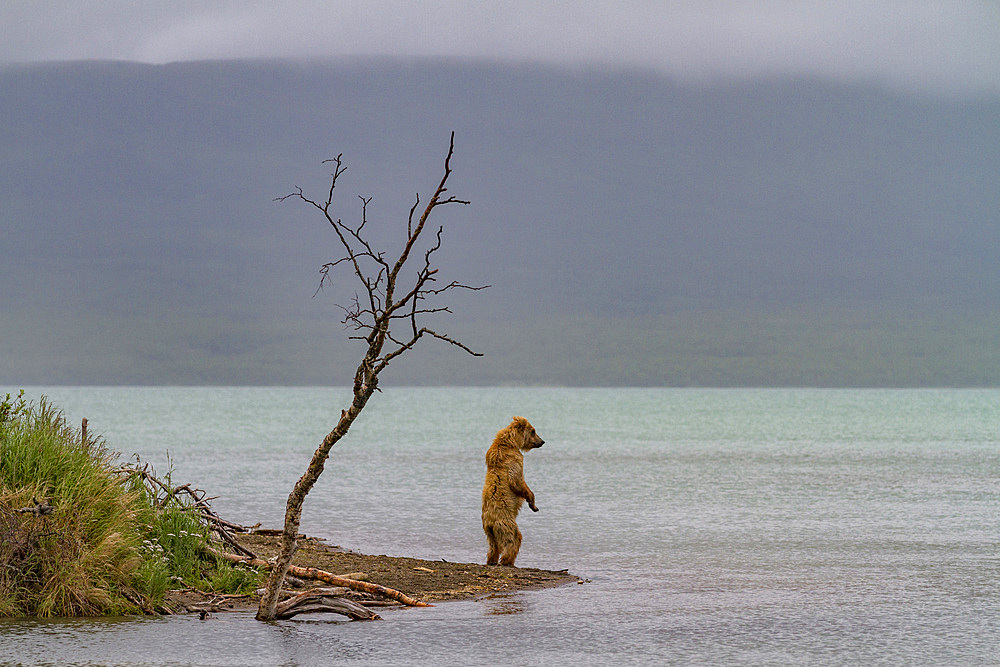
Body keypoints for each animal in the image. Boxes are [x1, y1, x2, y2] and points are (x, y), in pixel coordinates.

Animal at [480, 418, 544, 564]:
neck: (511, 443)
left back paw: (492, 560)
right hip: (505, 522)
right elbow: (517, 481)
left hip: (489, 532)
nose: (542, 441)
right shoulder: (514, 461)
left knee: (493, 546)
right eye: (533, 431)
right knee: (514, 538)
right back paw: (507, 560)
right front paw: (533, 504)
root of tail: (490, 521)